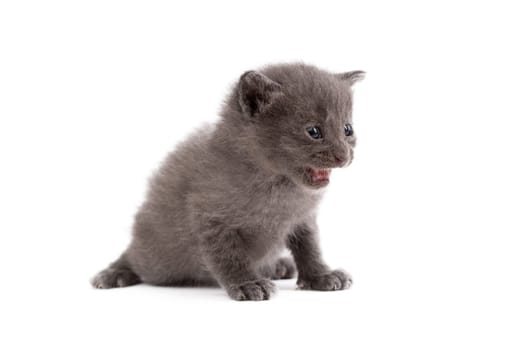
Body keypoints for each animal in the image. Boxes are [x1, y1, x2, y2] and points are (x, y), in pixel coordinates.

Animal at [92, 63, 362, 300]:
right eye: (314, 131)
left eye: (348, 129)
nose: (344, 156)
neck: (279, 186)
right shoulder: (211, 219)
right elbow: (228, 256)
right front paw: (248, 284)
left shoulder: (303, 219)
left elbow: (310, 248)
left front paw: (322, 276)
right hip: (154, 257)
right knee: (133, 255)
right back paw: (114, 273)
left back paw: (278, 266)